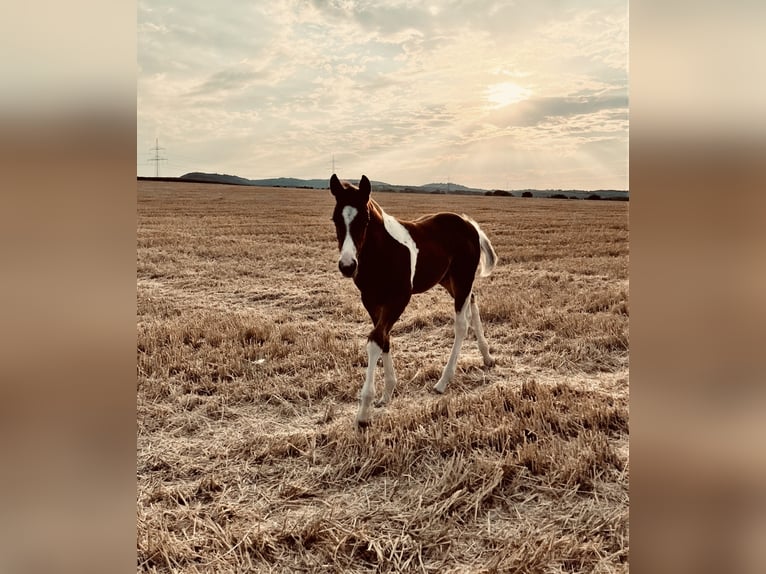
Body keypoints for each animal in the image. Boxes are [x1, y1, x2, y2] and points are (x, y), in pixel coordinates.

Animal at [330, 174, 498, 428]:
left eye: (365, 220)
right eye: (335, 219)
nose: (348, 266)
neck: (381, 252)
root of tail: (469, 224)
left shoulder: (399, 299)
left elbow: (376, 339)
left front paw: (364, 411)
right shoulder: (371, 301)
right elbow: (384, 338)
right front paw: (387, 393)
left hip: (462, 278)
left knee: (461, 324)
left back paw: (442, 382)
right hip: (449, 281)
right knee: (473, 301)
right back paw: (487, 357)